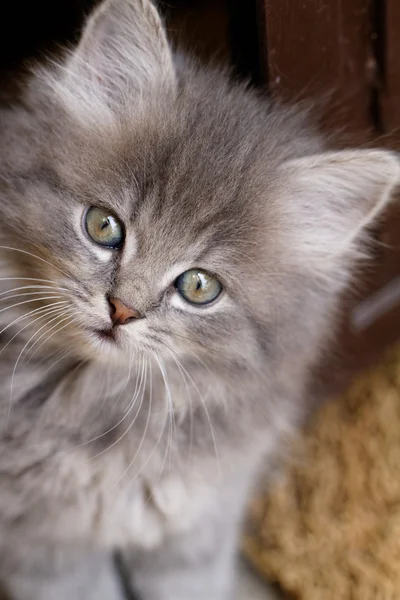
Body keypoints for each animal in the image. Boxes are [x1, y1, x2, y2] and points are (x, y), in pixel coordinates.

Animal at [0, 1, 398, 600]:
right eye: (103, 225)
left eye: (199, 287)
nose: (121, 309)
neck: (114, 409)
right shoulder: (44, 548)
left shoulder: (199, 525)